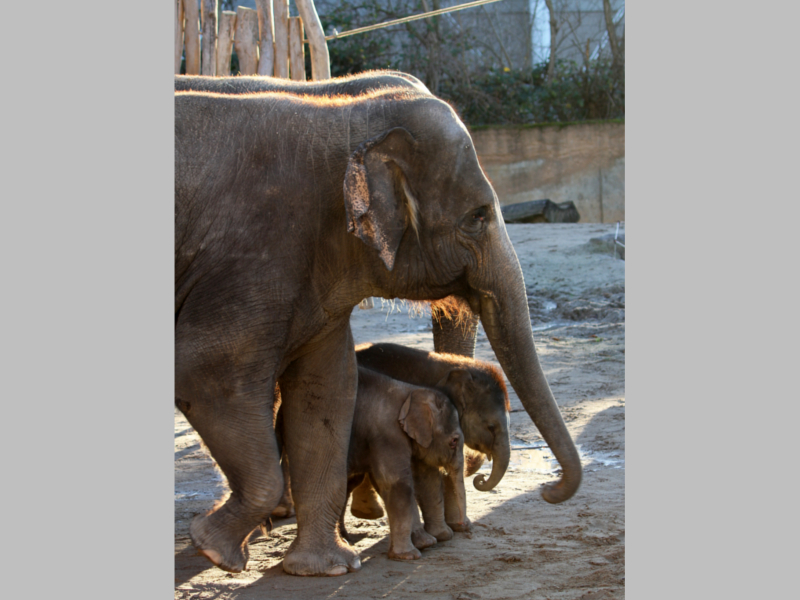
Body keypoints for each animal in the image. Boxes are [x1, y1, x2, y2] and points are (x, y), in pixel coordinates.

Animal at [340, 368, 466, 560]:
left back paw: (345, 540)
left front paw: (429, 541)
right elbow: (397, 483)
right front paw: (409, 555)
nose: (462, 526)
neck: (410, 391)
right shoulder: (387, 433)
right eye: (453, 441)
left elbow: (420, 479)